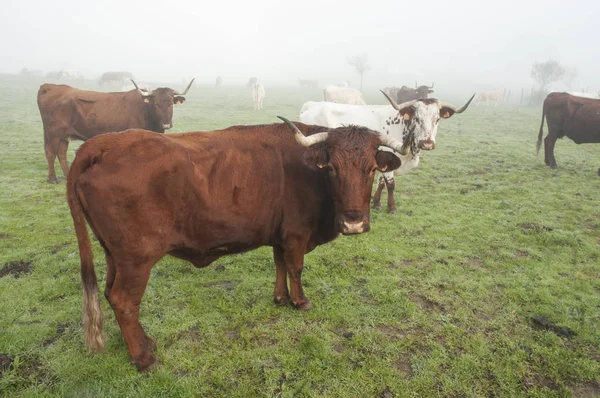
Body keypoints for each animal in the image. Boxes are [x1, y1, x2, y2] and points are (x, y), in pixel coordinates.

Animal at [36, 78, 195, 183]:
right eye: (156, 103)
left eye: (171, 104)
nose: (166, 124)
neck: (145, 110)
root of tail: (51, 87)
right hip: (54, 134)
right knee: (51, 153)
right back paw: (52, 178)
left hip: (64, 136)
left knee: (61, 153)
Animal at [298, 91, 474, 213]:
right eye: (417, 118)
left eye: (437, 119)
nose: (427, 143)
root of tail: (311, 105)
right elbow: (390, 184)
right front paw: (392, 208)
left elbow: (381, 182)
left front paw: (376, 203)